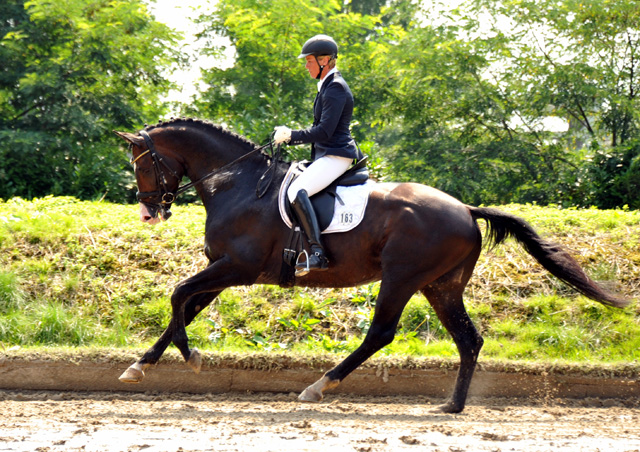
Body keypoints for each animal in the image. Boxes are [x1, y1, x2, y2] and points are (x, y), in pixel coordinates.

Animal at [115, 119, 632, 414]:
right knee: (468, 339)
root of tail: (466, 209)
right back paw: (452, 406)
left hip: (402, 278)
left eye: (143, 164)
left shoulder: (236, 268)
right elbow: (183, 308)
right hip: (440, 286)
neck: (237, 183)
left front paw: (192, 358)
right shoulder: (224, 270)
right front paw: (140, 367)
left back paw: (318, 387)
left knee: (381, 332)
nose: (149, 212)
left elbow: (178, 296)